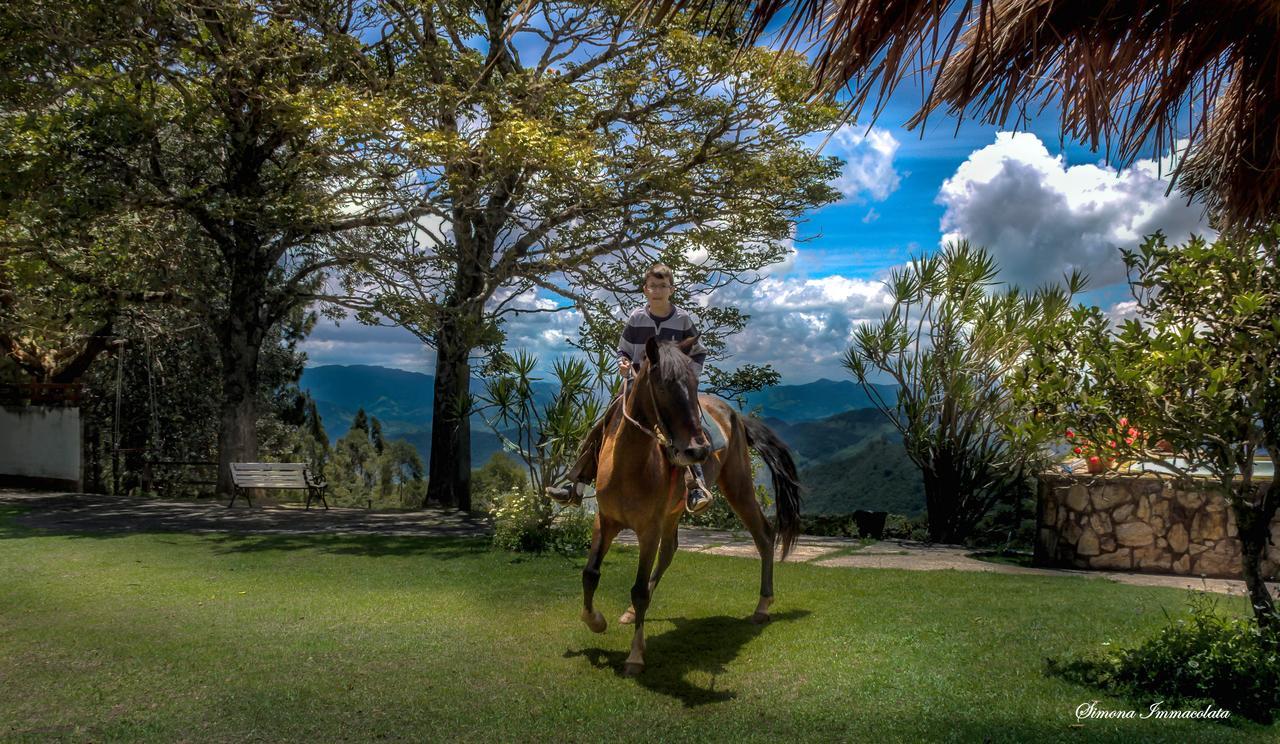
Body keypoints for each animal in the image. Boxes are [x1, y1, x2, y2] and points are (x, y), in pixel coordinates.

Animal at [581, 332, 798, 676]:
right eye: (662, 386)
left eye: (694, 384)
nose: (698, 451)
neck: (629, 465)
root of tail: (735, 416)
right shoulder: (605, 520)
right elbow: (590, 573)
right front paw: (596, 621)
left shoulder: (648, 529)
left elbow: (639, 589)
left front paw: (635, 656)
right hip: (673, 512)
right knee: (670, 550)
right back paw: (628, 613)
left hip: (737, 486)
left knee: (763, 534)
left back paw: (763, 606)